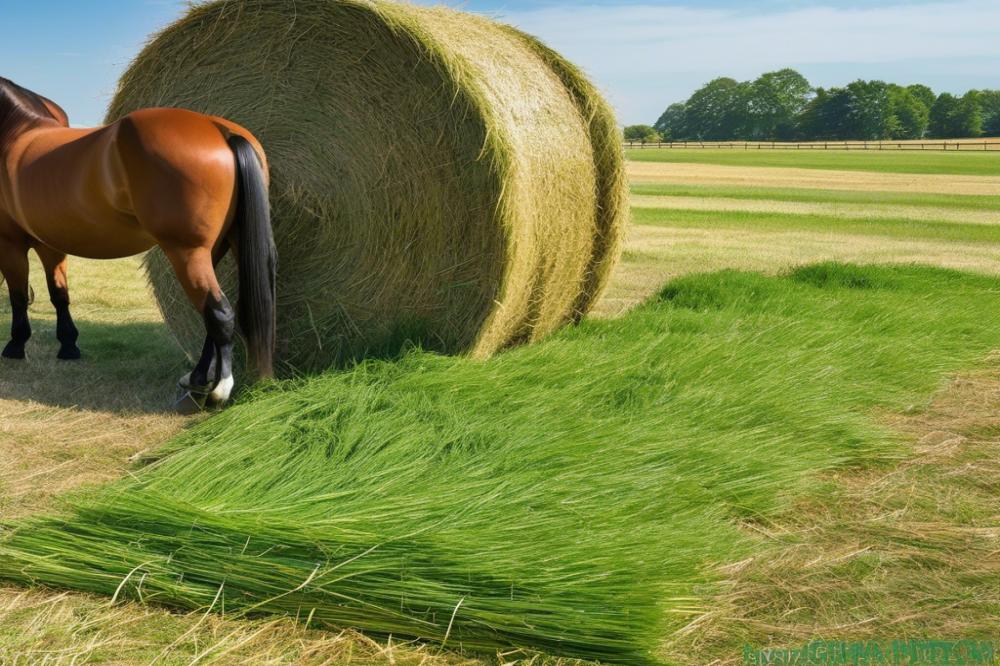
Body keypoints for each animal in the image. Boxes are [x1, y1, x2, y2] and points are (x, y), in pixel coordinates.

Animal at [0, 76, 276, 410]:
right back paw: (197, 377)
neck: (15, 134)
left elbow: (18, 297)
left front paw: (15, 345)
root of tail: (219, 129)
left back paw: (218, 390)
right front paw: (68, 345)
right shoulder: (50, 245)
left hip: (188, 254)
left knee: (219, 313)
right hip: (218, 248)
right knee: (216, 316)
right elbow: (59, 295)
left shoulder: (10, 243)